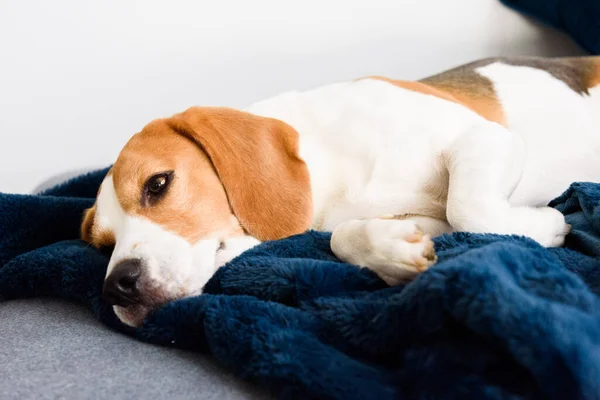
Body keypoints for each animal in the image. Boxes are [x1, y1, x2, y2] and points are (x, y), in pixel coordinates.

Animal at [82, 56, 600, 326]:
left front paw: (547, 224)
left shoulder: (487, 138)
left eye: (157, 184)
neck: (331, 164)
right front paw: (393, 253)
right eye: (103, 246)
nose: (117, 284)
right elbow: (343, 236)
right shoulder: (418, 218)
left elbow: (469, 207)